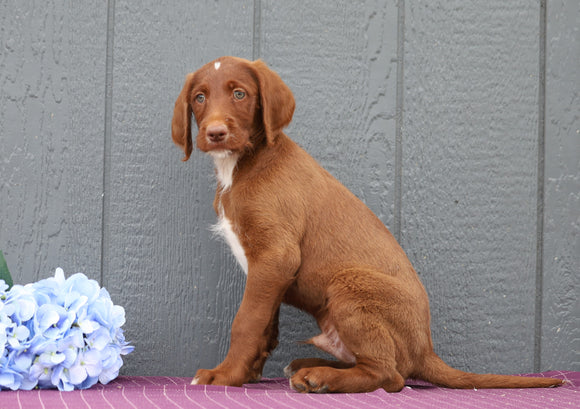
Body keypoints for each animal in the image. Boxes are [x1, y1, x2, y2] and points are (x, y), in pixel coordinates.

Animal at [171, 55, 560, 390]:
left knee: (388, 375)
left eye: (240, 94)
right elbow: (266, 324)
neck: (240, 165)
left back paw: (321, 377)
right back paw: (310, 366)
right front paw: (248, 373)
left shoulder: (276, 256)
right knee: (379, 366)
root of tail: (426, 349)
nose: (215, 133)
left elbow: (247, 321)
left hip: (349, 283)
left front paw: (226, 375)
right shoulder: (269, 270)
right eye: (200, 97)